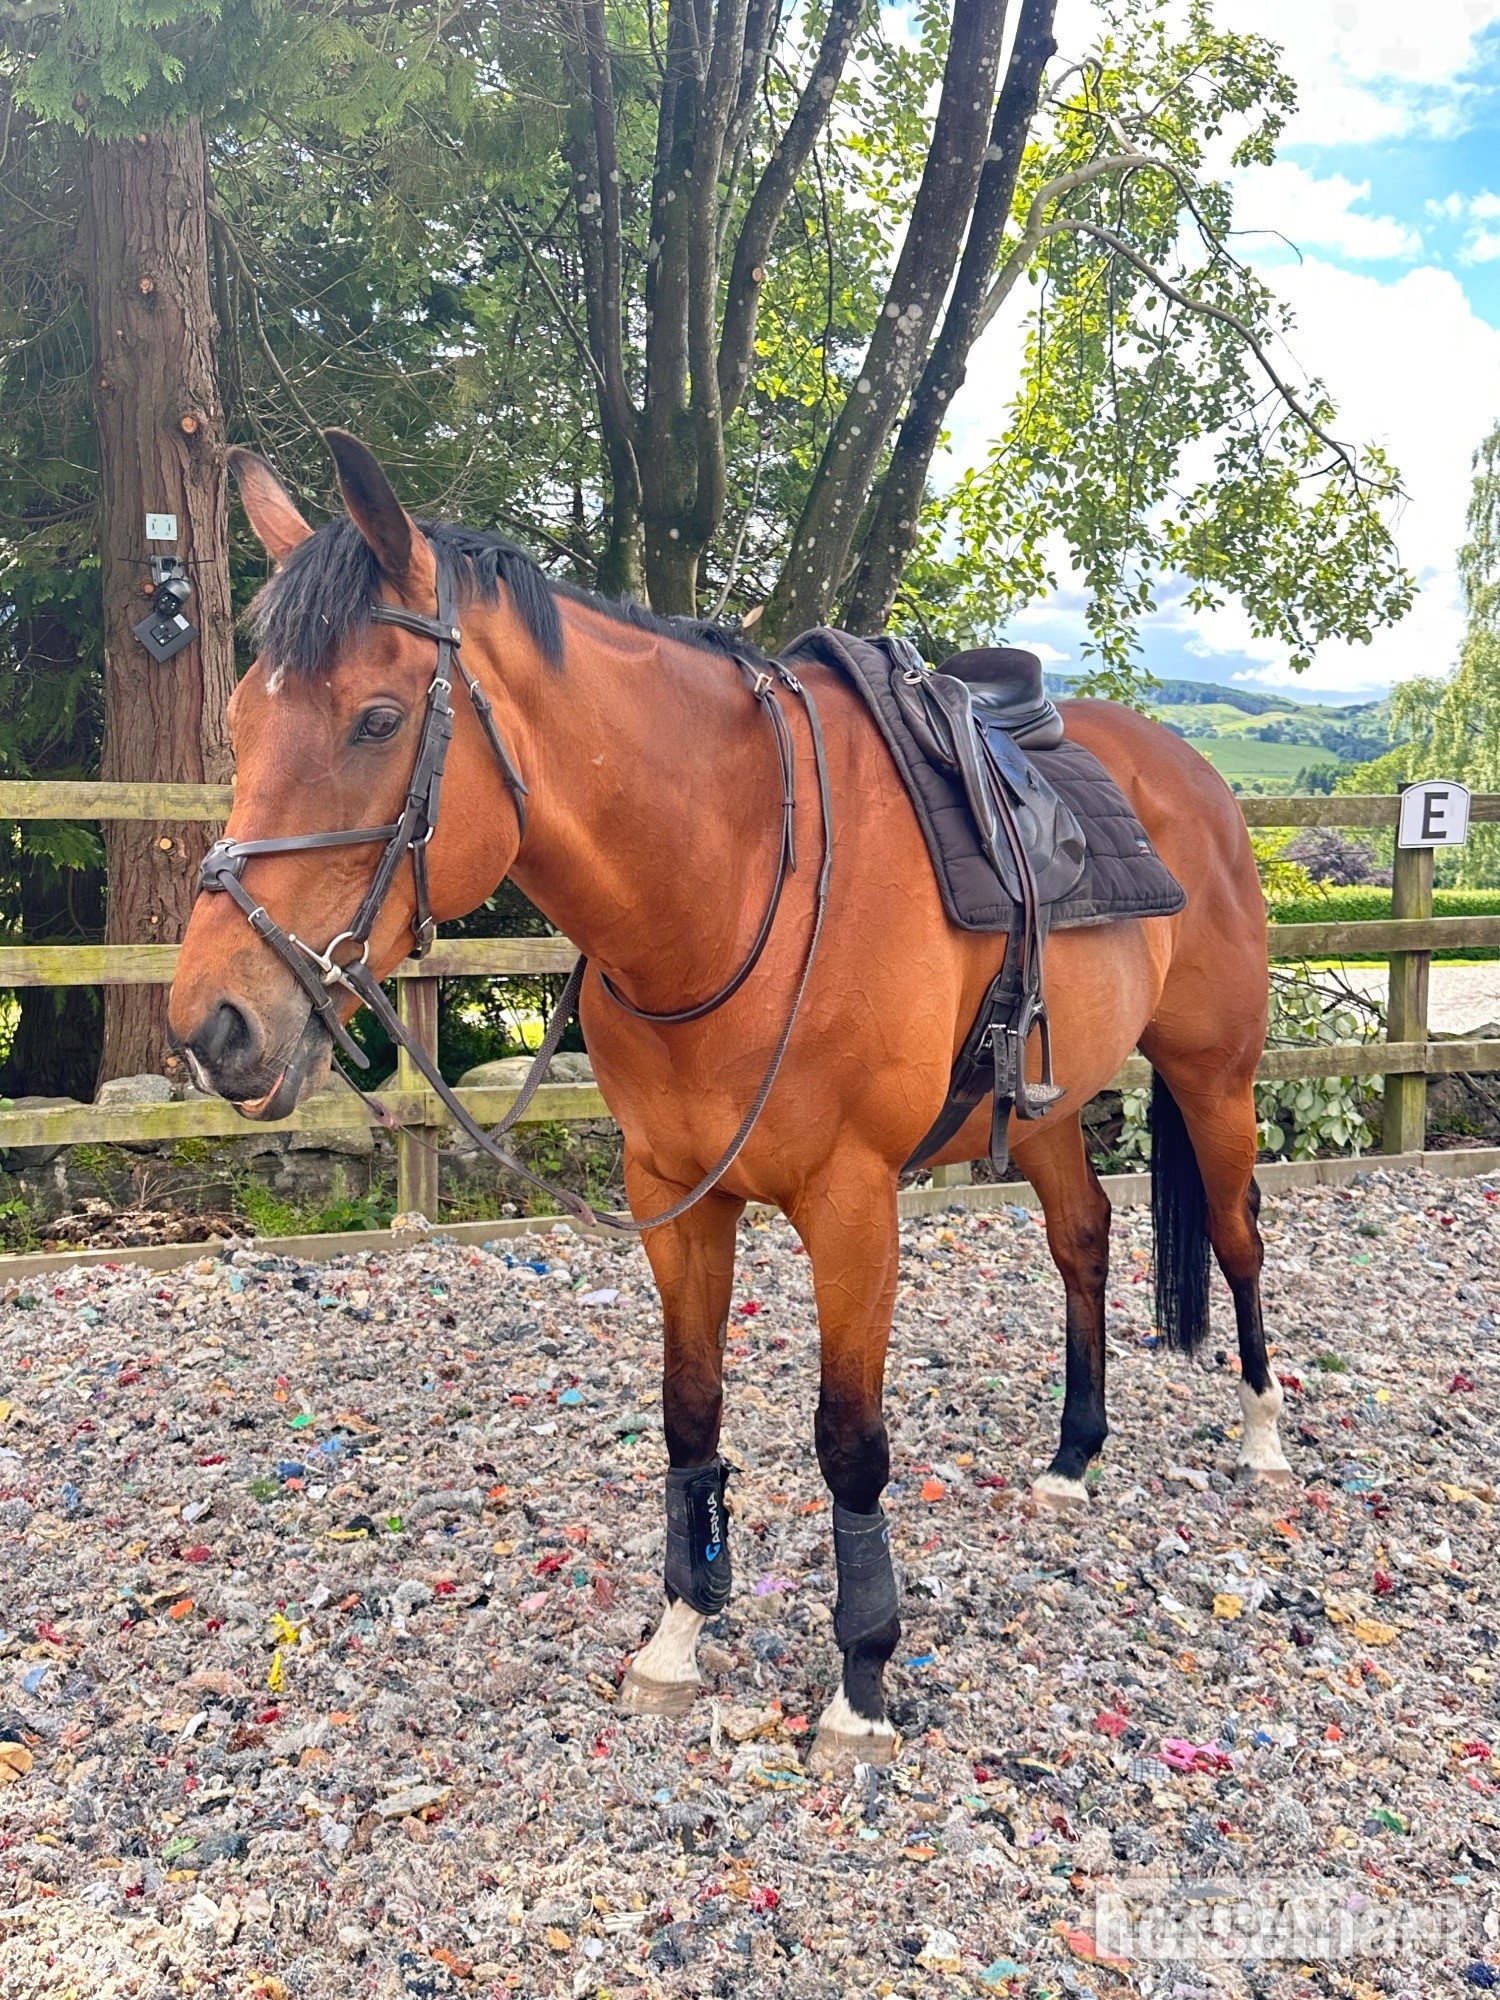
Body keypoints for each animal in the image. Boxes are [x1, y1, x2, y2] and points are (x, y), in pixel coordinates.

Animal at [167, 431, 1289, 1774]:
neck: (734, 874)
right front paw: (677, 1635)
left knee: (1238, 1237)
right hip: (1051, 1107)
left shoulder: (853, 1205)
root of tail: (1195, 776)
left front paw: (861, 1681)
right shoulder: (676, 1197)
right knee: (1084, 1236)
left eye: (376, 719)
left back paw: (1264, 1432)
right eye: (240, 717)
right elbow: (689, 1412)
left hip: (1215, 1078)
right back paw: (1074, 1455)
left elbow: (848, 1439)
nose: (211, 1025)